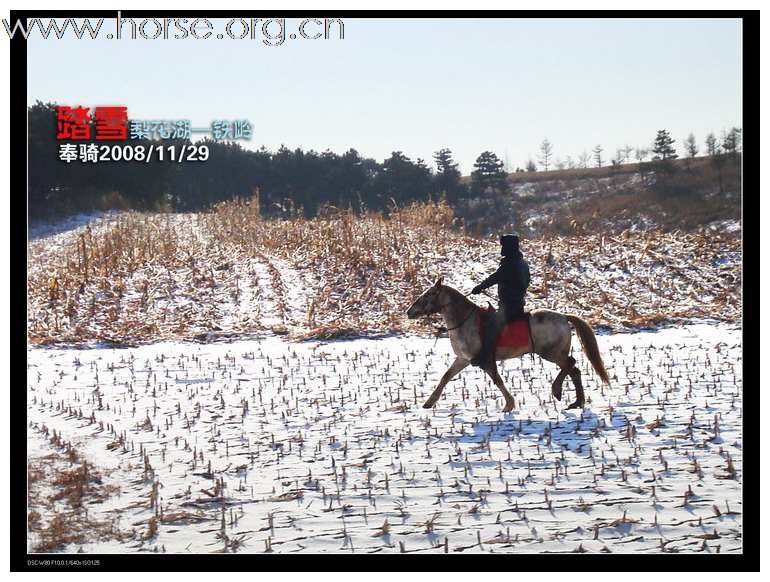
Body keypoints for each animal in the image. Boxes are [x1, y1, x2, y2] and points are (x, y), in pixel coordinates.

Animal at [404, 278, 608, 410]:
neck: (465, 322)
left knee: (571, 365)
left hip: (552, 353)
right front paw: (429, 403)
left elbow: (497, 380)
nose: (409, 312)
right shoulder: (463, 359)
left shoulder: (485, 360)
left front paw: (509, 405)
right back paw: (576, 402)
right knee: (574, 370)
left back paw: (558, 391)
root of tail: (564, 317)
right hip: (554, 354)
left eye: (430, 294)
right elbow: (445, 377)